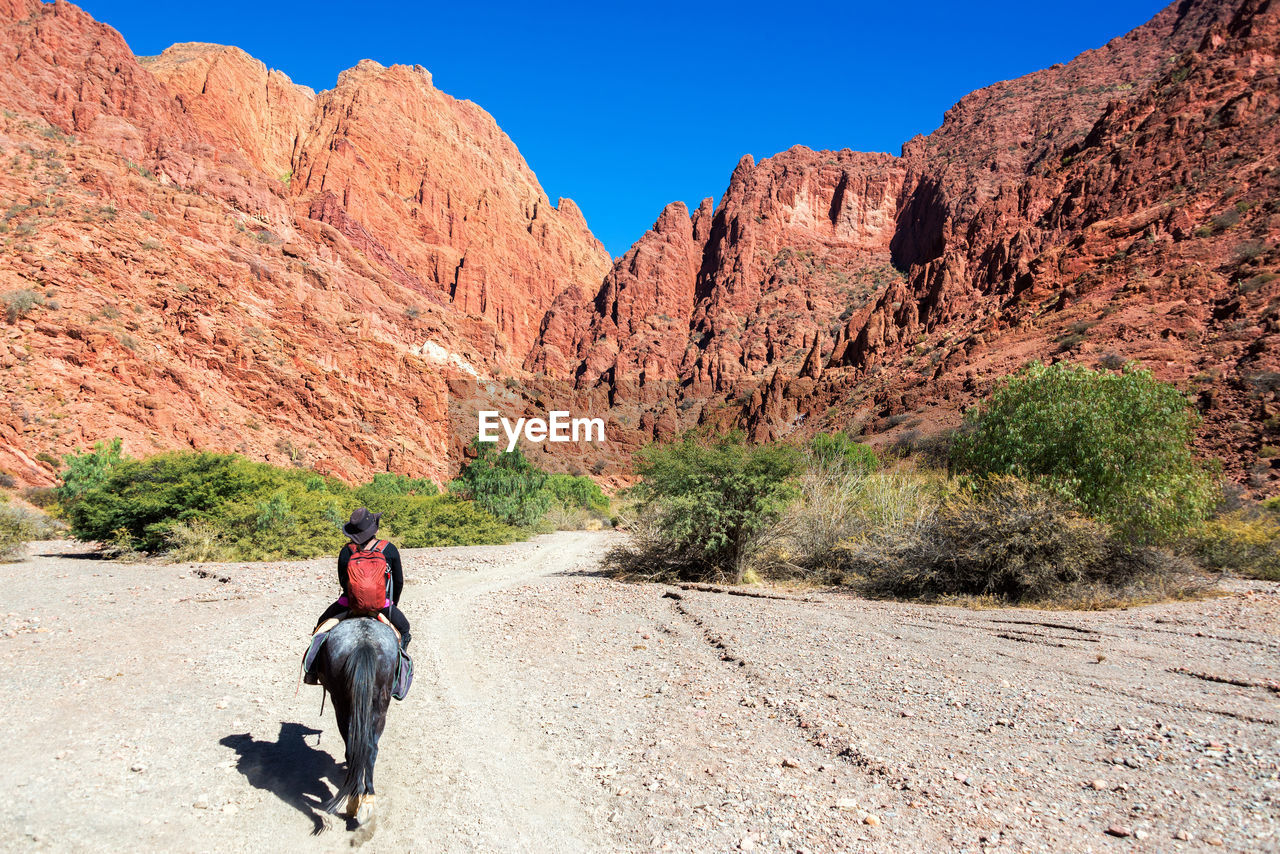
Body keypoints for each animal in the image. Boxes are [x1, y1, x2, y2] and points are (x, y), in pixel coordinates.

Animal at [316, 617, 399, 824]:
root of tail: (363, 643)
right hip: (374, 705)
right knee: (369, 749)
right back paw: (363, 801)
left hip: (343, 703)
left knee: (358, 747)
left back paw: (358, 801)